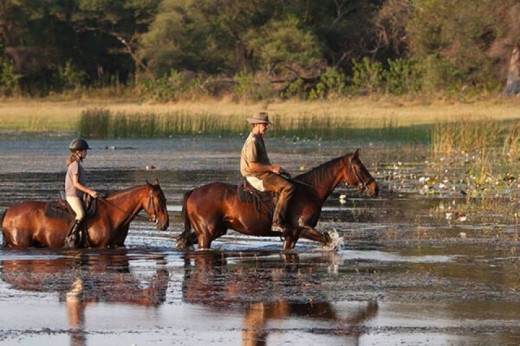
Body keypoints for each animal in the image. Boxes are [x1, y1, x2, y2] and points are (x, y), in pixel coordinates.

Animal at [1, 178, 169, 249]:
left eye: (165, 199)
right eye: (158, 200)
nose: (165, 224)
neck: (112, 213)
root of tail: (9, 210)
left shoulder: (118, 245)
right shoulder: (102, 246)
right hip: (21, 243)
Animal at [178, 147, 378, 250]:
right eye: (359, 167)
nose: (375, 188)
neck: (311, 191)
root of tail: (193, 192)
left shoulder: (292, 235)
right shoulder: (302, 229)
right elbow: (328, 239)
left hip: (216, 230)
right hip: (207, 233)